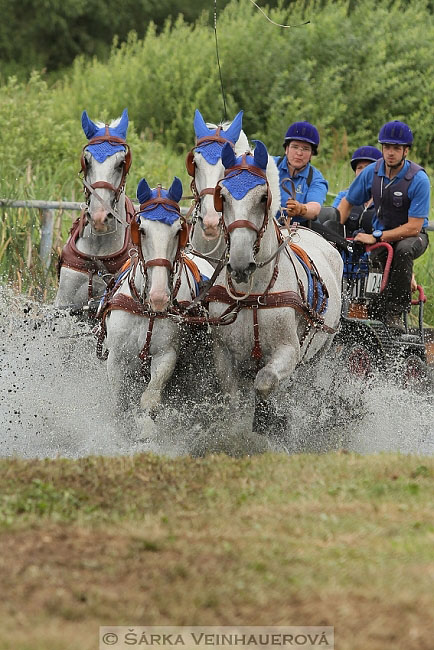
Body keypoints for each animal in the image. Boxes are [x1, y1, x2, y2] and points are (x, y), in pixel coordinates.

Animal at [98, 175, 214, 412]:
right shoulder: (116, 359)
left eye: (178, 230)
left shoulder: (166, 356)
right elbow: (119, 403)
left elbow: (150, 398)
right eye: (141, 229)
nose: (159, 297)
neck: (147, 310)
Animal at [207, 142, 342, 436]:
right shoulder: (223, 353)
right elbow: (232, 397)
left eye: (262, 197)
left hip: (319, 354)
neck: (254, 295)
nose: (240, 264)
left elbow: (265, 381)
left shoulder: (288, 351)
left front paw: (268, 419)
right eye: (222, 197)